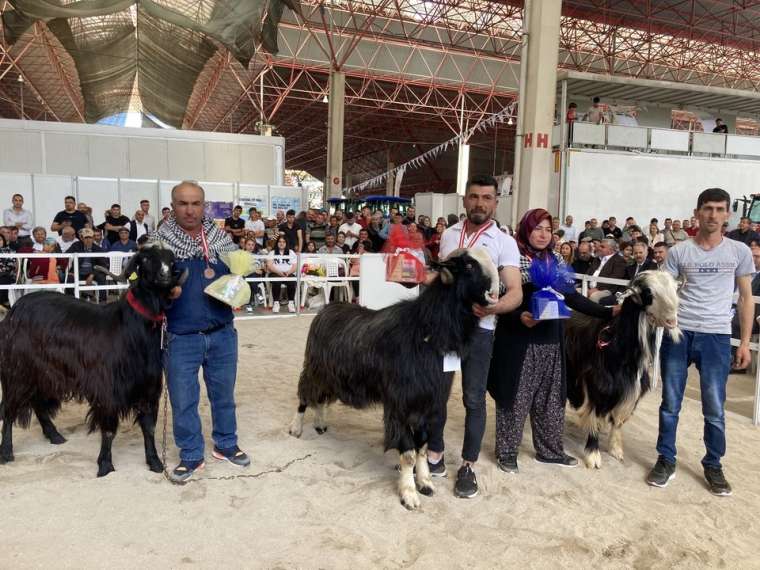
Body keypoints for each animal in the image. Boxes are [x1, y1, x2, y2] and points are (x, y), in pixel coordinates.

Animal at [0, 243, 187, 474]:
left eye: (171, 260)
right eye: (145, 259)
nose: (166, 275)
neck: (130, 329)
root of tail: (14, 310)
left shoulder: (148, 387)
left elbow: (149, 427)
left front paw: (155, 462)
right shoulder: (108, 388)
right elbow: (108, 430)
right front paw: (105, 465)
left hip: (42, 373)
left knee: (37, 403)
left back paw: (54, 435)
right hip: (17, 370)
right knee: (9, 409)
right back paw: (6, 452)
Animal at [286, 246, 498, 508]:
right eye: (468, 265)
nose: (494, 293)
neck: (426, 331)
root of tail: (327, 308)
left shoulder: (428, 403)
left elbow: (422, 448)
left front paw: (425, 484)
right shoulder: (400, 405)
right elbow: (408, 454)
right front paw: (409, 495)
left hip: (333, 376)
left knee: (322, 399)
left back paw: (320, 423)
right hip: (316, 368)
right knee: (305, 394)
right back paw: (296, 428)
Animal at [564, 270, 684, 466]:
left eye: (675, 289)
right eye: (649, 292)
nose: (671, 321)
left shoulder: (631, 389)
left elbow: (618, 419)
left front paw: (616, 450)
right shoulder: (598, 384)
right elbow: (595, 416)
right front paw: (593, 455)